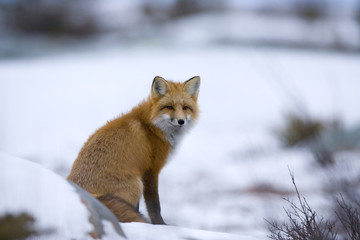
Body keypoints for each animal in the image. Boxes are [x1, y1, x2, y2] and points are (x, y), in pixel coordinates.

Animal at [67, 76, 200, 225]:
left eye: (185, 107)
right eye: (169, 107)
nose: (181, 121)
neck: (151, 126)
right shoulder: (150, 170)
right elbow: (154, 205)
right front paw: (160, 225)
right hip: (136, 185)